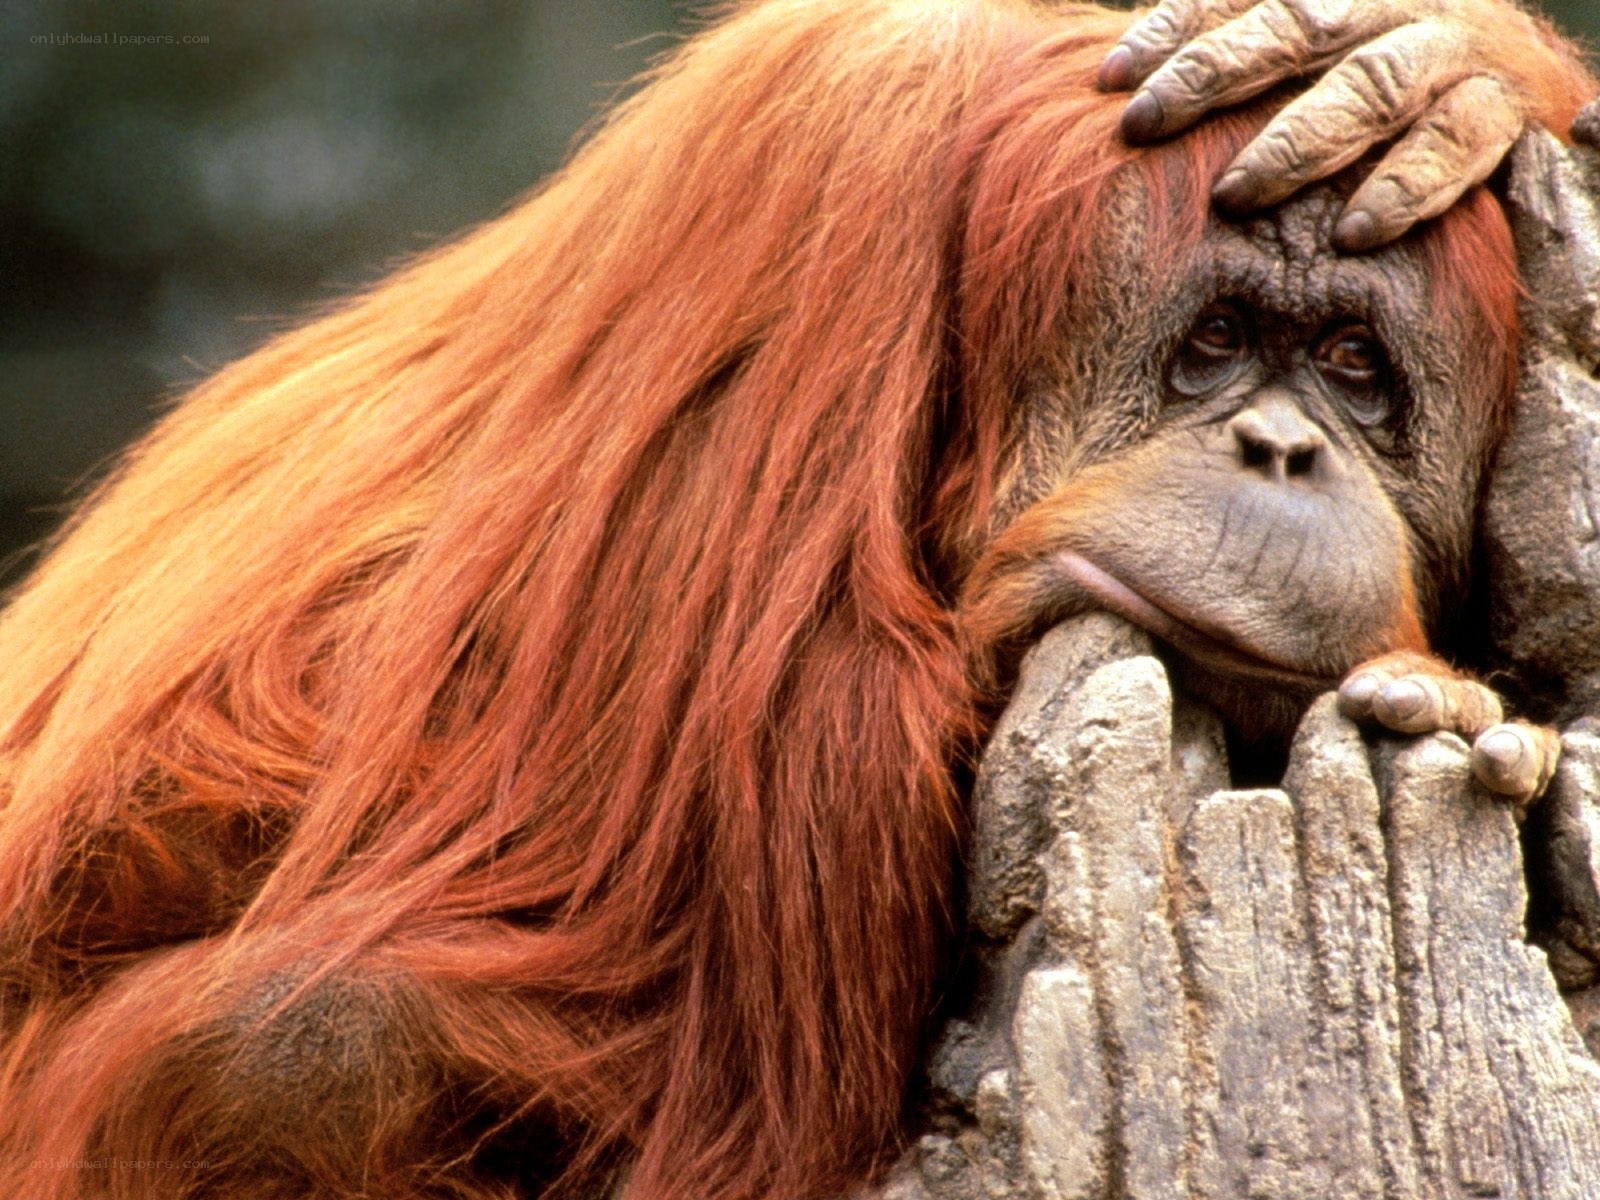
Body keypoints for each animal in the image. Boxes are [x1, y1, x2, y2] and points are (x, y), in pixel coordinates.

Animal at [0, 2, 1590, 1199]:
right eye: (1214, 343)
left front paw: (1448, 70)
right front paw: (1466, 713)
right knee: (316, 1042)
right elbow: (791, 782)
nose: (1280, 450)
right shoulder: (835, 199)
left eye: (1351, 368)